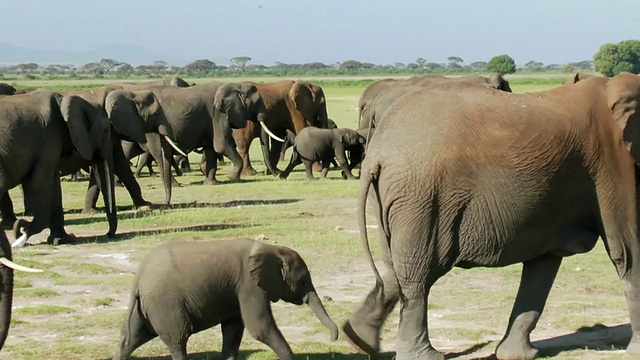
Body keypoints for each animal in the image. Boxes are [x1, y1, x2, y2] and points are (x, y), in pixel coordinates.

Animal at [0, 89, 115, 245]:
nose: (108, 234)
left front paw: (62, 239)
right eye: (106, 130)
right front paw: (22, 235)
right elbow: (40, 182)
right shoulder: (49, 137)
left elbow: (53, 185)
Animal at [114, 239, 340, 360]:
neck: (270, 248)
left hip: (147, 306)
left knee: (131, 337)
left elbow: (233, 330)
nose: (333, 338)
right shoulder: (249, 285)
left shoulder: (237, 290)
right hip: (165, 303)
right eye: (303, 281)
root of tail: (138, 278)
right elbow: (260, 327)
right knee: (178, 337)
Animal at [342, 71, 640, 358]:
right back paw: (423, 355)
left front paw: (516, 355)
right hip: (422, 198)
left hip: (393, 198)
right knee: (417, 275)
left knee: (395, 269)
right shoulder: (611, 159)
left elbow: (543, 263)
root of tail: (378, 153)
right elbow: (627, 250)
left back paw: (359, 339)